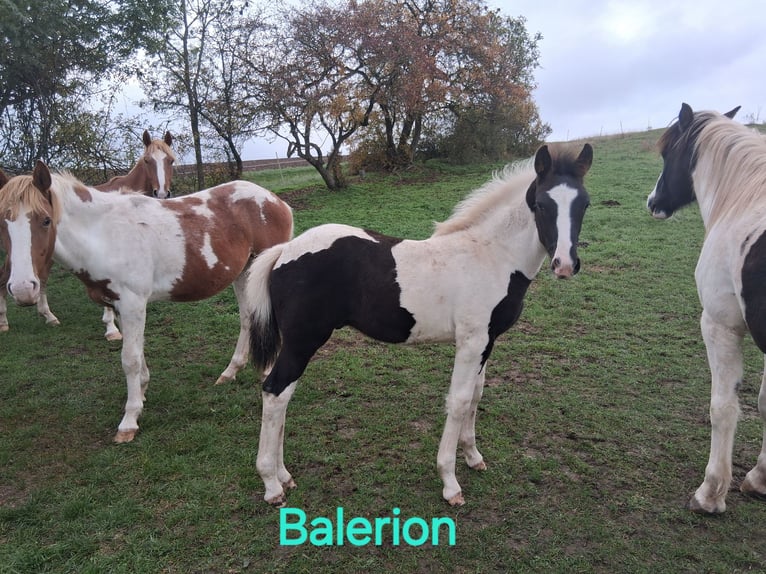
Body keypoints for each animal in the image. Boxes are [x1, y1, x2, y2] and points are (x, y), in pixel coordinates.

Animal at [0, 130, 176, 339]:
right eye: (148, 161)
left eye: (171, 161)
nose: (162, 193)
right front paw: (111, 328)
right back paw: (4, 321)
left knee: (40, 279)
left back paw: (48, 316)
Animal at [0, 160, 293, 443]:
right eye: (3, 223)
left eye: (45, 220)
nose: (23, 289)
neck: (103, 235)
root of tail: (276, 201)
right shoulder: (121, 306)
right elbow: (138, 355)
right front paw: (141, 394)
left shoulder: (132, 303)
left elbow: (129, 359)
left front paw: (129, 421)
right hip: (244, 273)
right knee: (248, 318)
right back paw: (231, 371)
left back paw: (266, 371)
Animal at [246, 143, 593, 507]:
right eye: (541, 204)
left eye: (585, 204)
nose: (565, 265)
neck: (492, 256)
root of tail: (285, 250)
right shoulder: (470, 342)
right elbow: (458, 401)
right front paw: (450, 482)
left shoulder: (487, 341)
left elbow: (476, 395)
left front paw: (473, 457)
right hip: (303, 340)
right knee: (274, 392)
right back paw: (271, 484)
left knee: (283, 395)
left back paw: (285, 476)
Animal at [647, 102, 766, 514]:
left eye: (668, 154)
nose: (652, 201)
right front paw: (759, 477)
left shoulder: (719, 324)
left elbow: (723, 408)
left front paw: (711, 492)